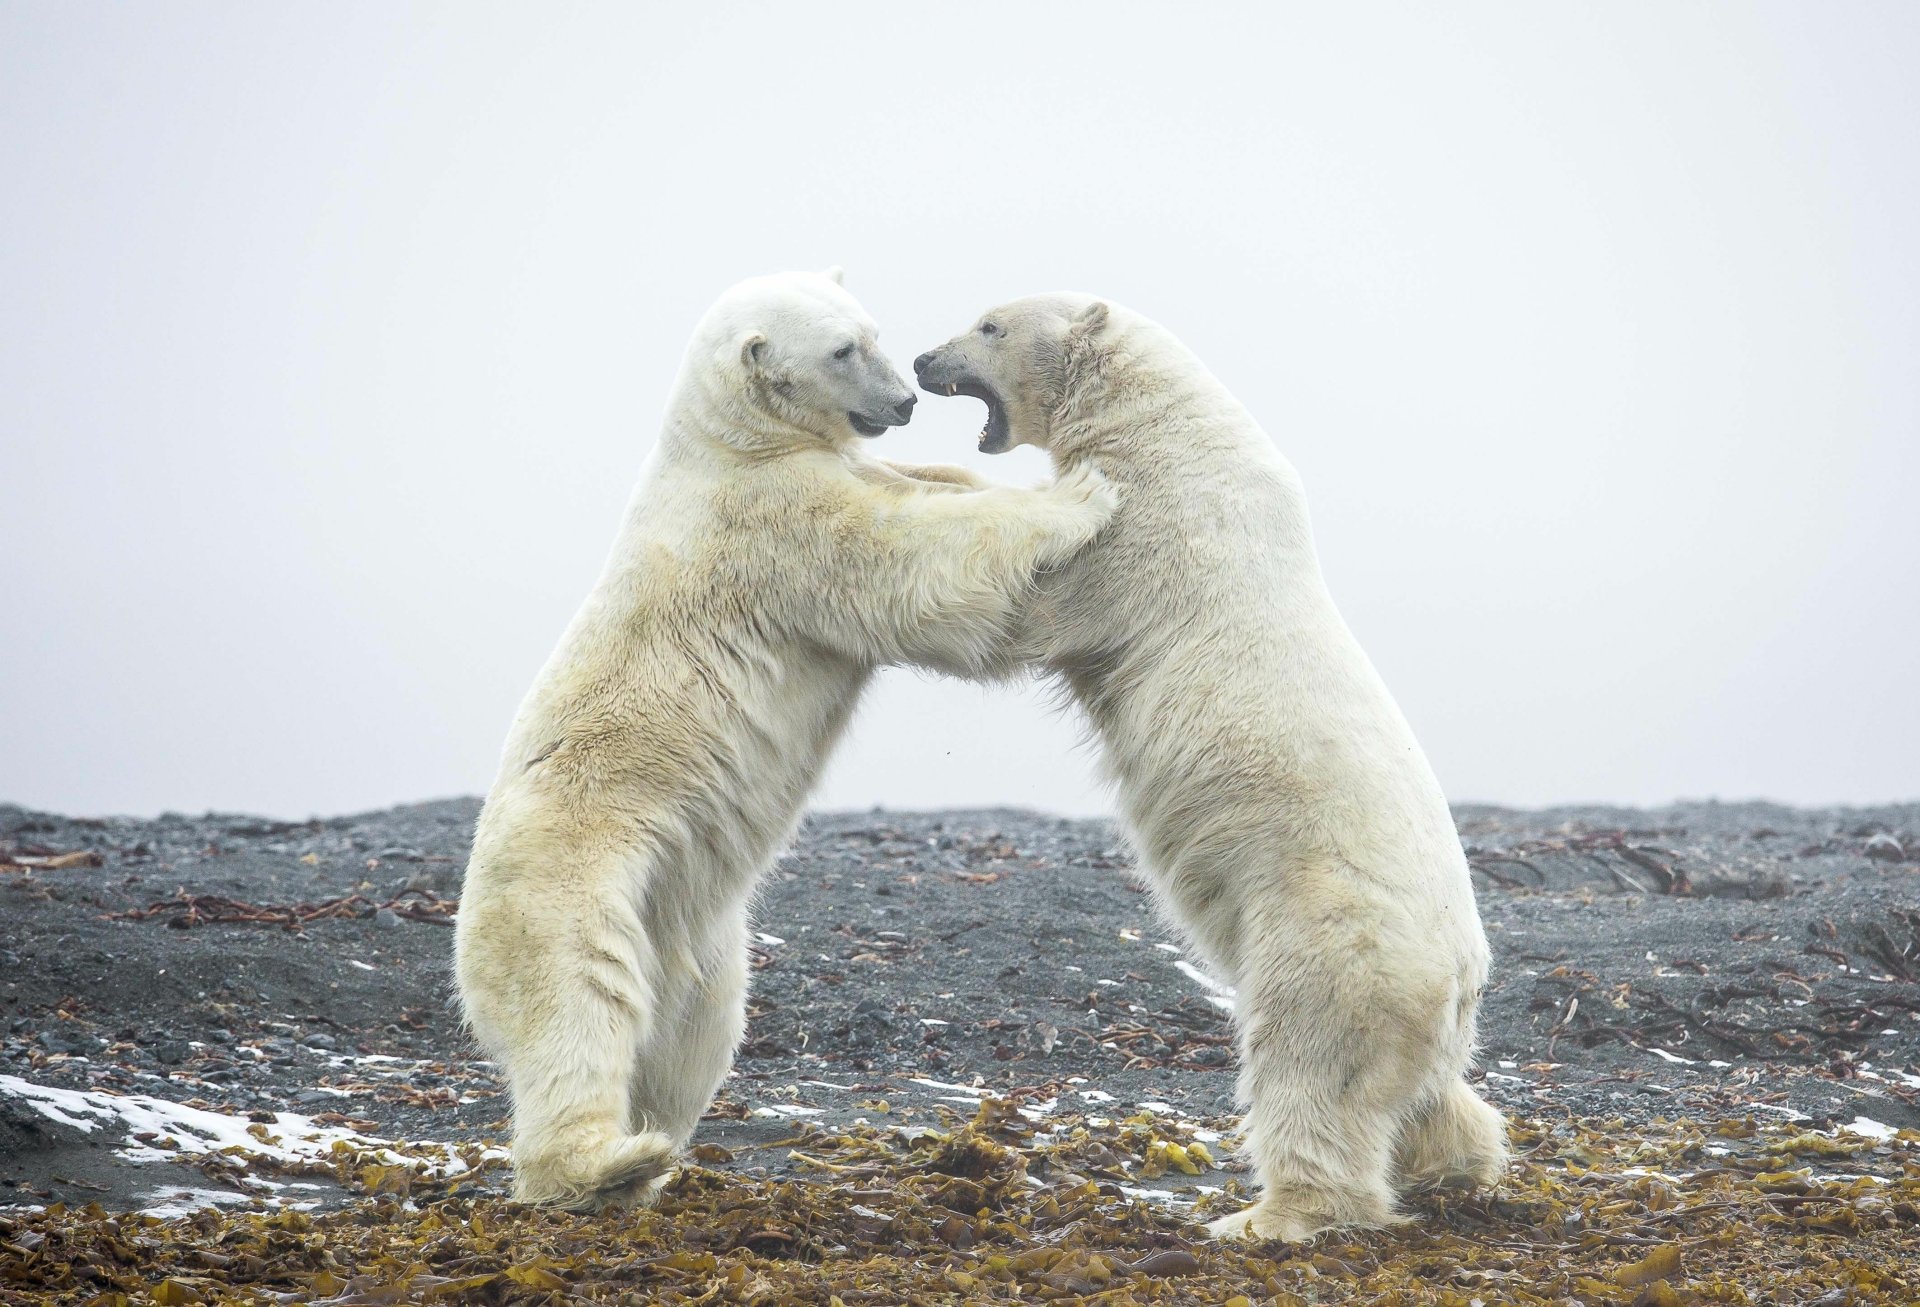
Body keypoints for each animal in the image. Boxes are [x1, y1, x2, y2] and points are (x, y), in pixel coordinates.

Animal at [453, 270, 1117, 1210]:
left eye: (873, 332)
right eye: (842, 350)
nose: (905, 399)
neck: (728, 443)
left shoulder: (833, 472)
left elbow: (925, 484)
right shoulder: (773, 524)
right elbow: (912, 563)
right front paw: (1080, 492)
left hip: (691, 921)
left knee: (694, 1029)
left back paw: (652, 1152)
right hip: (567, 873)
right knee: (577, 999)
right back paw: (602, 1165)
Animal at [913, 295, 1507, 1242]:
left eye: (991, 325)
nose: (924, 359)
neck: (1166, 425)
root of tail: (1460, 978)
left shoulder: (1149, 531)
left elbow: (1036, 606)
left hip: (1331, 942)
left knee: (1308, 1067)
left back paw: (1269, 1215)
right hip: (1420, 1010)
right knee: (1425, 1095)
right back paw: (1461, 1164)